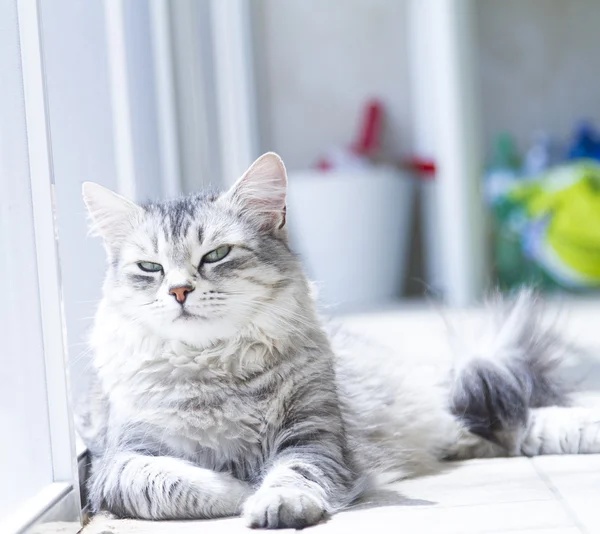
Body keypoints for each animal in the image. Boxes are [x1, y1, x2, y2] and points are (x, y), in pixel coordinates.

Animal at [79, 153, 600, 528]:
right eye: (150, 267)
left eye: (217, 254)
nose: (179, 291)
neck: (213, 370)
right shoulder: (118, 461)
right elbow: (171, 483)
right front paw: (241, 489)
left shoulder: (314, 437)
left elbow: (292, 473)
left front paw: (272, 499)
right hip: (466, 426)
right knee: (517, 429)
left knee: (529, 418)